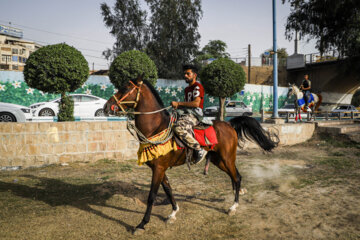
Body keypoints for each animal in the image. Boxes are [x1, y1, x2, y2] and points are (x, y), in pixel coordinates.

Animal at [102, 77, 278, 234]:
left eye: (125, 88)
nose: (106, 106)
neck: (156, 128)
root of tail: (229, 124)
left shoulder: (158, 168)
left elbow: (151, 196)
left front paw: (142, 224)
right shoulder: (160, 169)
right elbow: (168, 189)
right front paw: (173, 213)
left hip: (227, 158)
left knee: (236, 177)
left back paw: (233, 206)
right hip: (219, 160)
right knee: (236, 177)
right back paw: (237, 196)